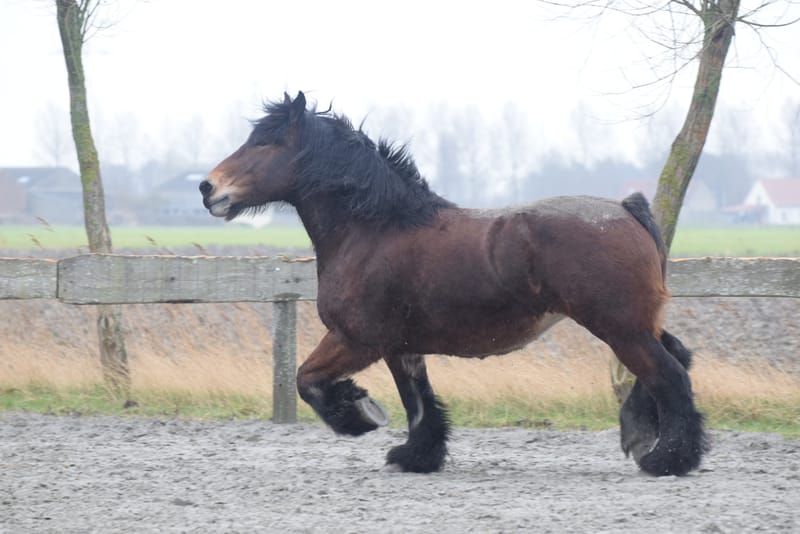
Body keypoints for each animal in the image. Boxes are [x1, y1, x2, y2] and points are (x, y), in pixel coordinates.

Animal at [200, 91, 708, 476]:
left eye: (265, 143)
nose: (209, 189)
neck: (375, 230)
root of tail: (626, 209)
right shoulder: (400, 346)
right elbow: (419, 402)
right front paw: (415, 455)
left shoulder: (356, 340)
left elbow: (308, 380)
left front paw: (361, 414)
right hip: (635, 325)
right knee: (676, 357)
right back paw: (644, 438)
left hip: (620, 328)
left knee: (669, 374)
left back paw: (667, 458)